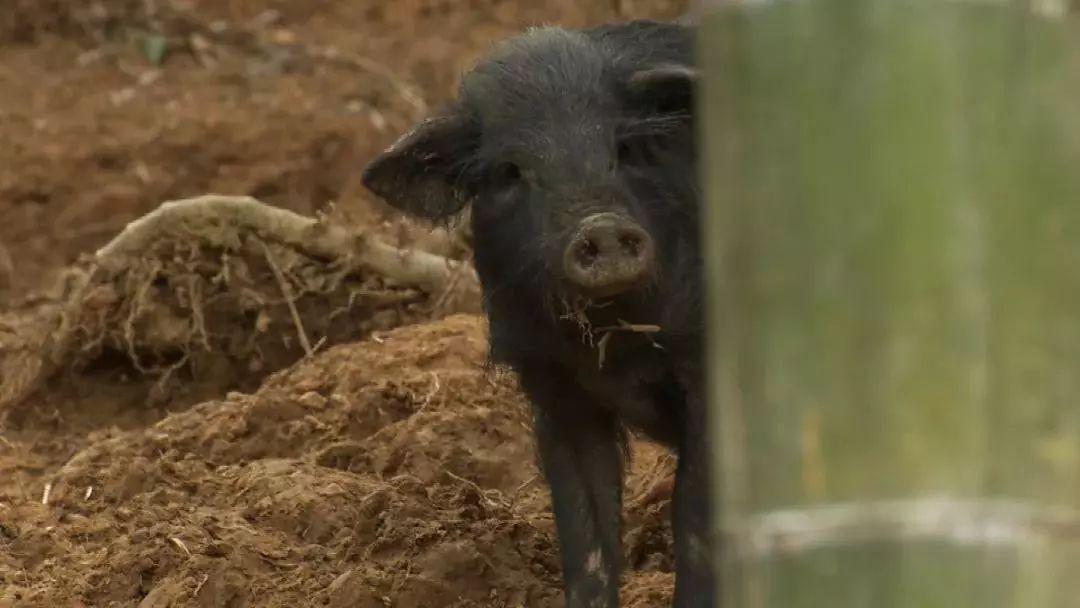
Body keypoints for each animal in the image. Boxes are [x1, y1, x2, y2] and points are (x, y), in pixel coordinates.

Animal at [362, 20, 712, 608]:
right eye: (510, 171)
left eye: (624, 148)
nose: (601, 226)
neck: (618, 348)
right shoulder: (554, 388)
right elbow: (585, 536)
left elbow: (693, 523)